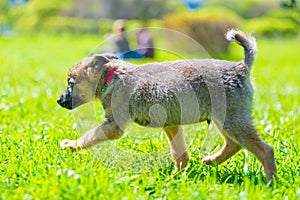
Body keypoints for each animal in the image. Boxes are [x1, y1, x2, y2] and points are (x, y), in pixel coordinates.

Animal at [57, 29, 278, 183]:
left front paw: (72, 144)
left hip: (233, 120)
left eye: (71, 83)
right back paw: (212, 160)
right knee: (234, 144)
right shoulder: (171, 123)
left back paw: (271, 183)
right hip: (224, 119)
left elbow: (89, 136)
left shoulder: (113, 125)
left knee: (264, 150)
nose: (59, 100)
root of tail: (241, 67)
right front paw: (176, 177)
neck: (112, 76)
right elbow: (180, 154)